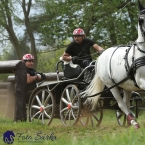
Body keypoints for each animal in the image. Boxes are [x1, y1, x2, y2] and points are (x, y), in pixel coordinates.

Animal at [83, 0, 145, 129]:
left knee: (126, 104)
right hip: (111, 85)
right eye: (141, 19)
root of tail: (101, 57)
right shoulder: (141, 80)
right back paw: (134, 123)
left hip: (126, 85)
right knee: (121, 104)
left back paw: (130, 121)